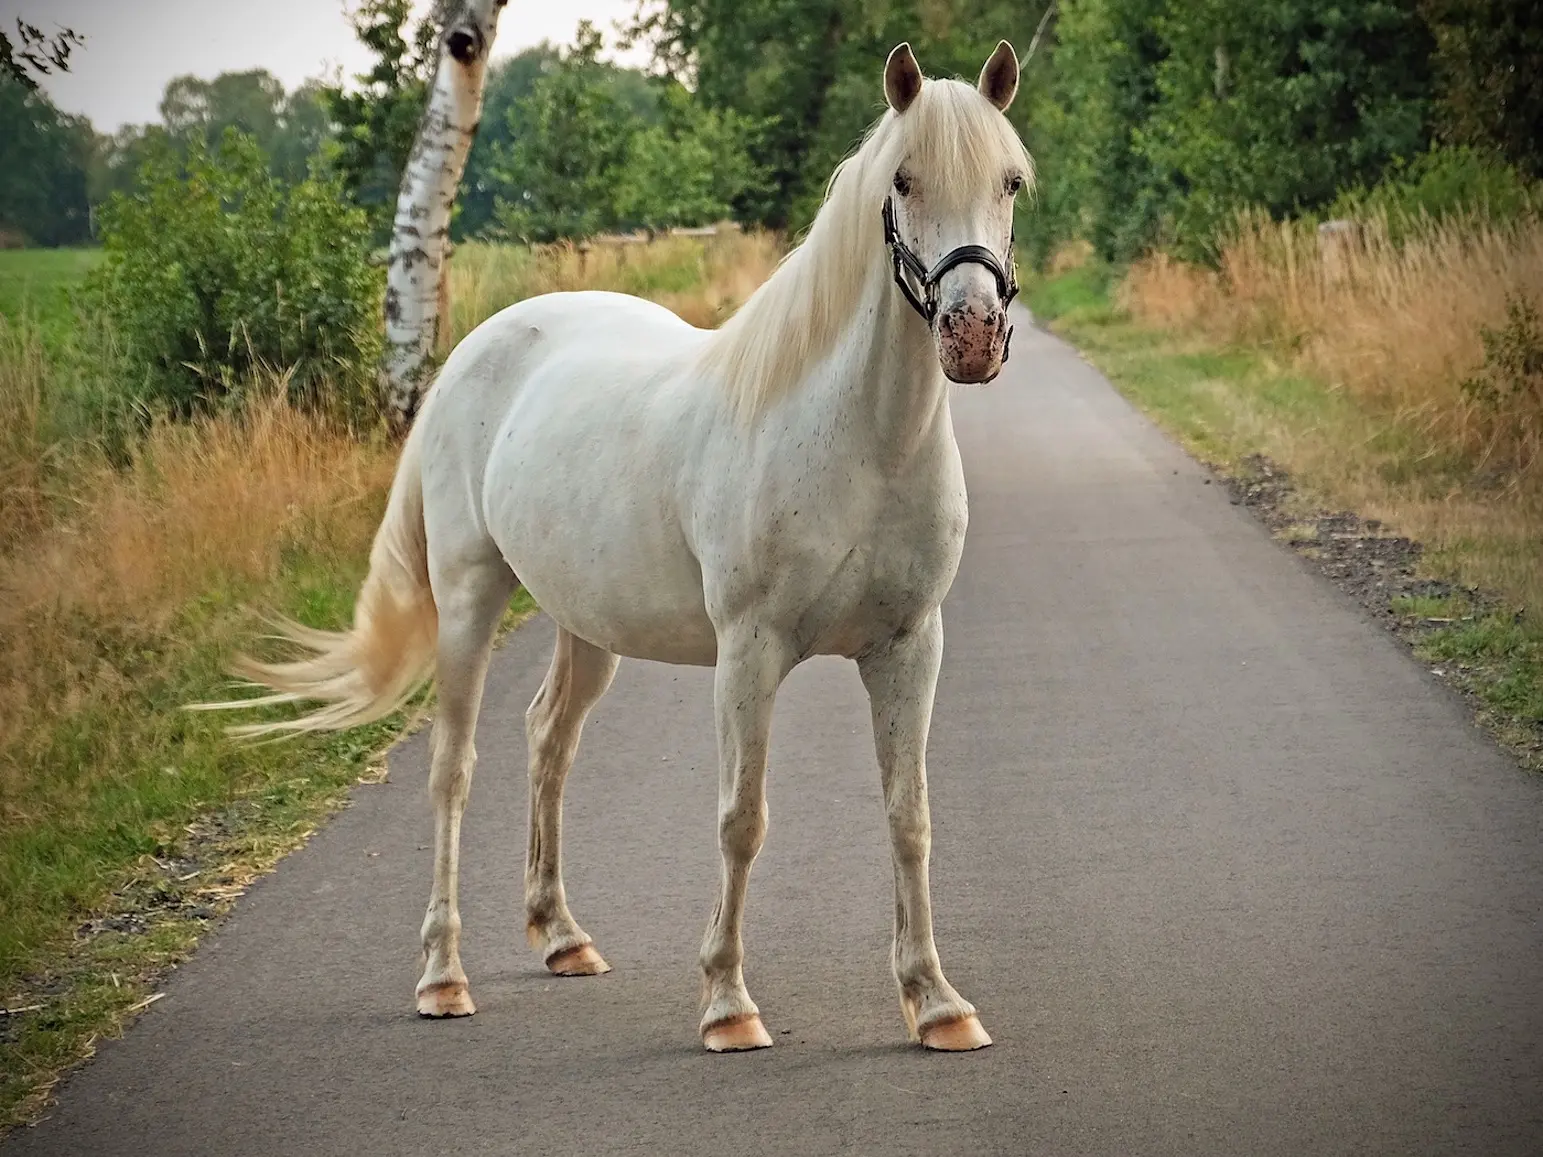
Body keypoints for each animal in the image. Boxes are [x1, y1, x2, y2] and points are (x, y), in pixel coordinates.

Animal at [205, 40, 1030, 1055]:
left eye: (1009, 182)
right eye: (903, 181)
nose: (971, 335)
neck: (854, 438)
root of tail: (470, 352)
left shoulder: (909, 646)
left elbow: (908, 817)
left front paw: (935, 1001)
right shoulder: (748, 652)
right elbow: (741, 819)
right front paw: (726, 1001)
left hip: (585, 625)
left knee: (547, 740)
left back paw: (560, 935)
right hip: (469, 600)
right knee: (452, 771)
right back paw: (442, 975)